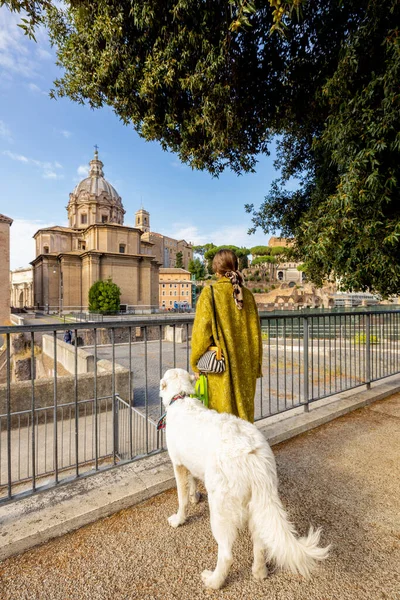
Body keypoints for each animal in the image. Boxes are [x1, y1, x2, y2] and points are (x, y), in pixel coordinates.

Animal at [160, 368, 332, 588]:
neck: (181, 398)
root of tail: (253, 457)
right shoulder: (189, 464)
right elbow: (192, 483)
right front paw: (195, 496)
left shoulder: (178, 465)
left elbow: (181, 498)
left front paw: (178, 519)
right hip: (257, 504)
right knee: (260, 543)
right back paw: (259, 572)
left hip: (221, 510)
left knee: (226, 555)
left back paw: (213, 581)